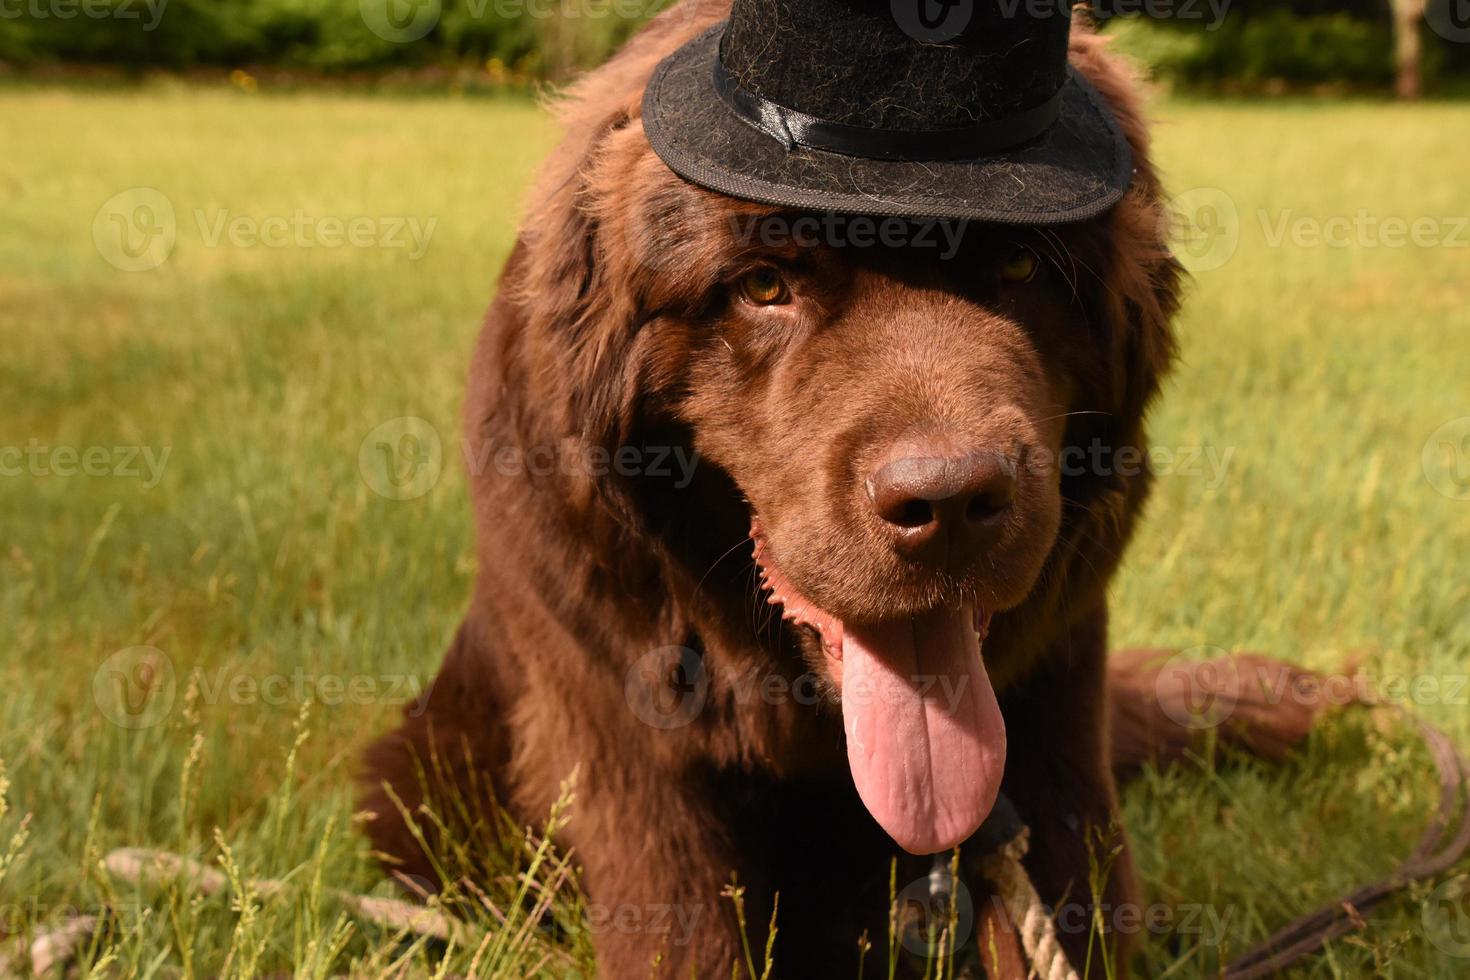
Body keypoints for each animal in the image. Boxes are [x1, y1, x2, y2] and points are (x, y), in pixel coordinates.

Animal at [361, 3, 1317, 975]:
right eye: (763, 284)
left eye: (1021, 269)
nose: (948, 504)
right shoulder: (631, 746)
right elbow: (683, 933)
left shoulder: (1058, 709)